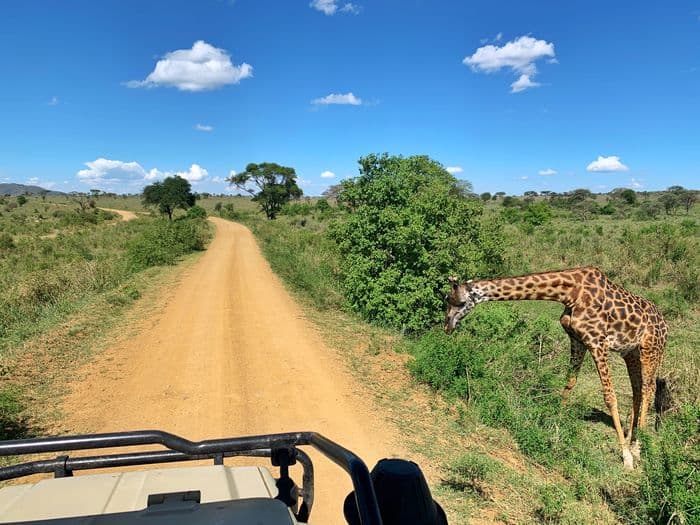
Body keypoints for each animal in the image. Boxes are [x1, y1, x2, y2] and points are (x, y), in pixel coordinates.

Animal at [442, 266, 668, 466]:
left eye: (461, 302)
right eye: (447, 300)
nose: (447, 326)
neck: (570, 293)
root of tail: (665, 325)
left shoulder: (597, 342)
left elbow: (609, 396)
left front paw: (626, 457)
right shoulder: (577, 339)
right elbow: (570, 383)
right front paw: (556, 422)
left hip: (651, 349)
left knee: (648, 389)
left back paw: (637, 449)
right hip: (631, 353)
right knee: (637, 390)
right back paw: (632, 437)